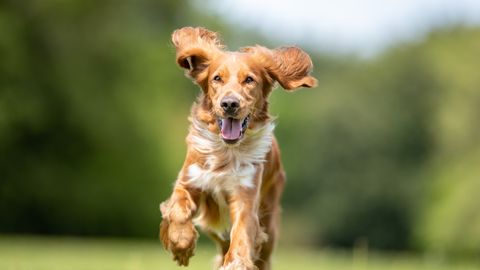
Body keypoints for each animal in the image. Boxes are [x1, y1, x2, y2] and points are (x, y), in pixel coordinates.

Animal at [161, 26, 316, 268]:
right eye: (217, 78)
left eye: (249, 80)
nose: (230, 104)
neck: (226, 151)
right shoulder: (189, 180)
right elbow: (177, 209)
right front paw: (181, 244)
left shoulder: (246, 196)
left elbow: (242, 233)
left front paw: (236, 263)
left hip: (269, 224)